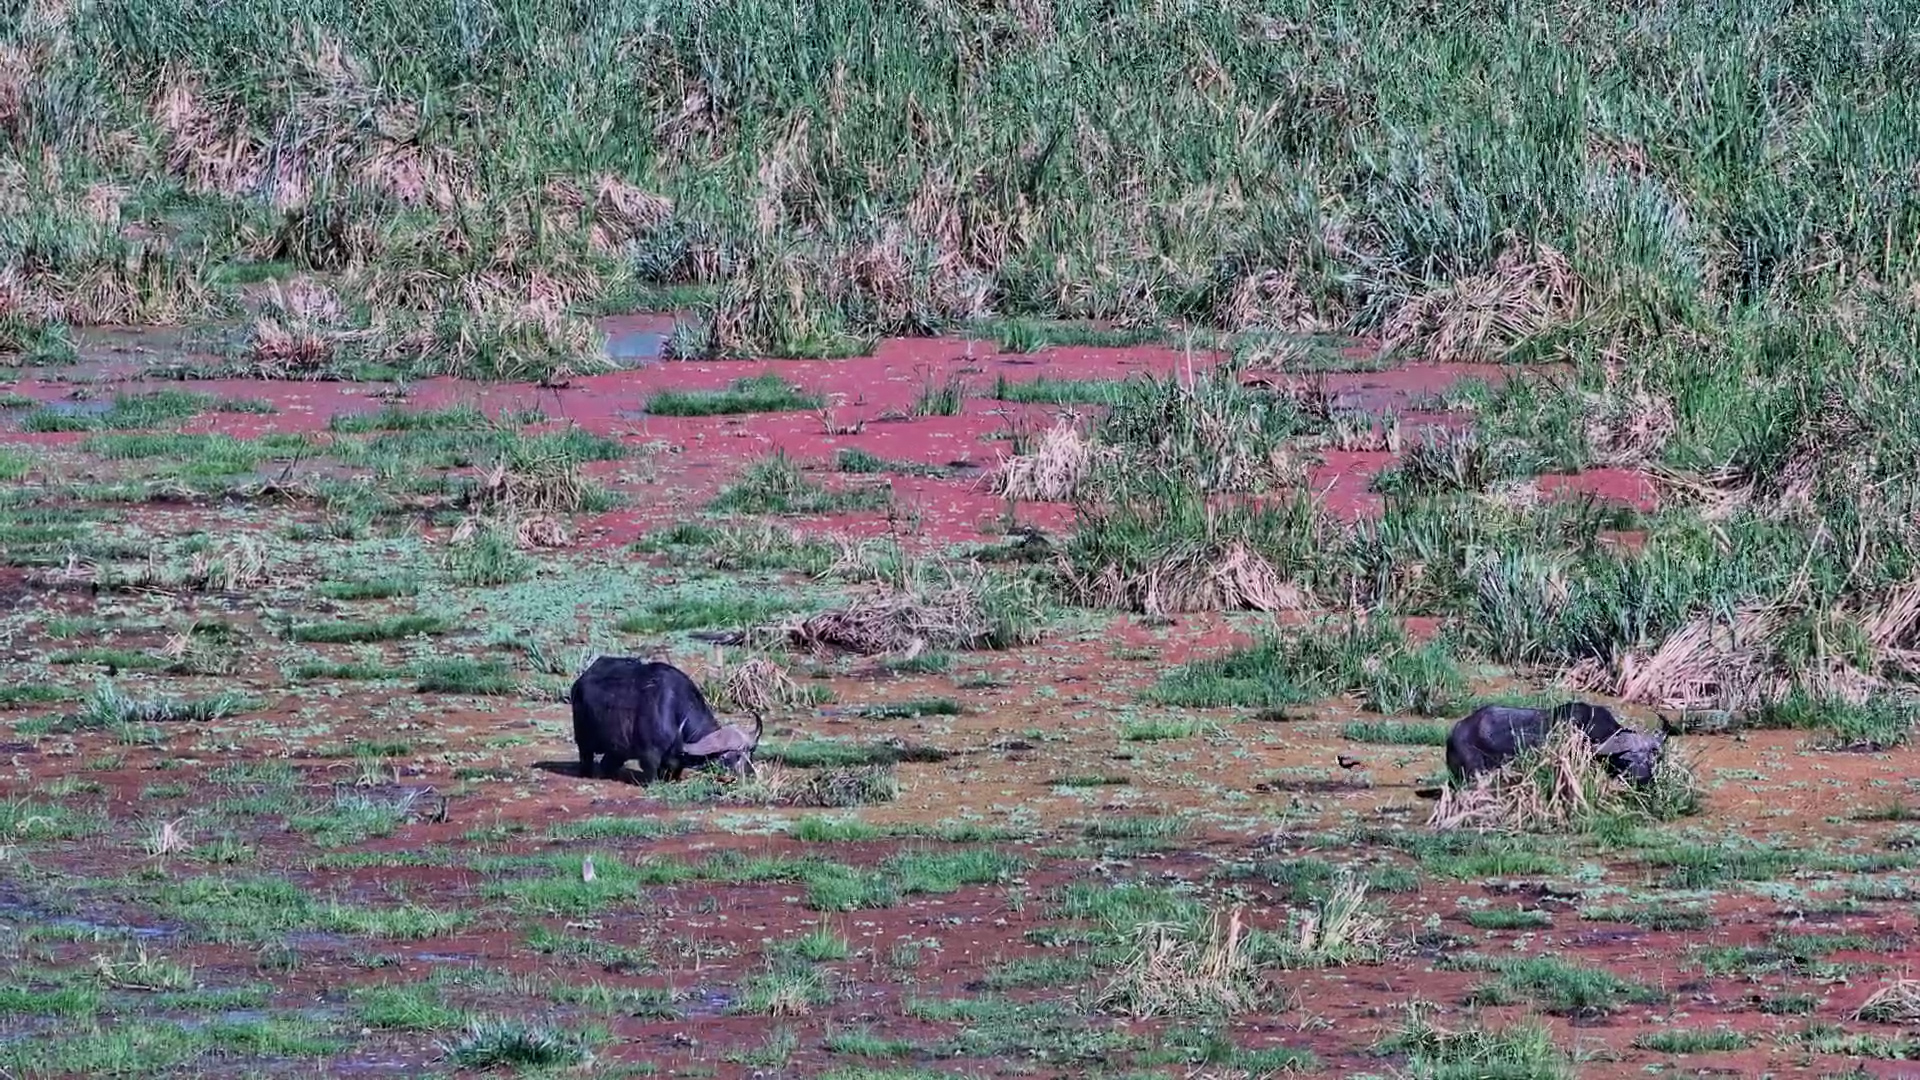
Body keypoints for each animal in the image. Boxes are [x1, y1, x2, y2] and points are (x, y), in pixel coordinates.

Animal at [569, 657, 763, 784]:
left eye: (750, 753)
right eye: (730, 756)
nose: (750, 774)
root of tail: (580, 681)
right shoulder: (649, 756)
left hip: (617, 750)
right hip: (583, 741)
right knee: (586, 757)